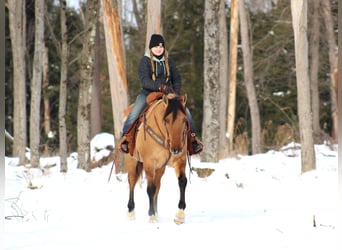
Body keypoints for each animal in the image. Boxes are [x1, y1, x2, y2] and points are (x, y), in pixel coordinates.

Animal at [125, 93, 188, 224]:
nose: (176, 149)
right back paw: (131, 212)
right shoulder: (149, 163)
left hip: (160, 168)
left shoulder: (180, 160)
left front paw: (180, 215)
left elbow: (182, 181)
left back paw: (157, 211)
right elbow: (150, 188)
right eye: (166, 120)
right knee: (132, 182)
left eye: (184, 120)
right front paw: (152, 216)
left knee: (158, 185)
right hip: (132, 162)